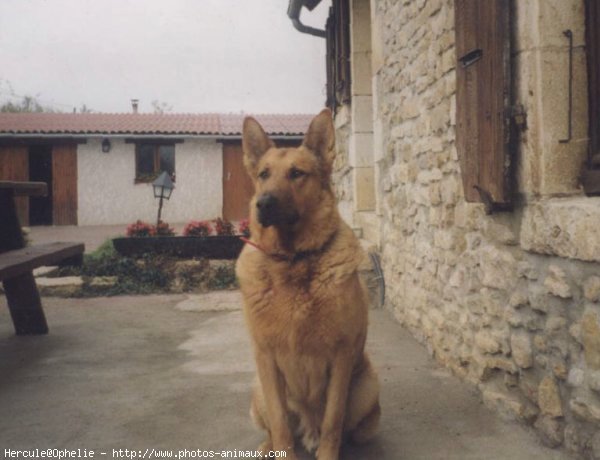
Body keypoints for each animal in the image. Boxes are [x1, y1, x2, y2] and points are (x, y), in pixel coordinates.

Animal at [236, 109, 380, 458]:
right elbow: (280, 425)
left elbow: (333, 421)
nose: (264, 203)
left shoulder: (341, 356)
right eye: (263, 174)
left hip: (368, 386)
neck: (292, 260)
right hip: (258, 388)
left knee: (349, 430)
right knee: (275, 428)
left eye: (297, 173)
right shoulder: (266, 357)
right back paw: (266, 446)